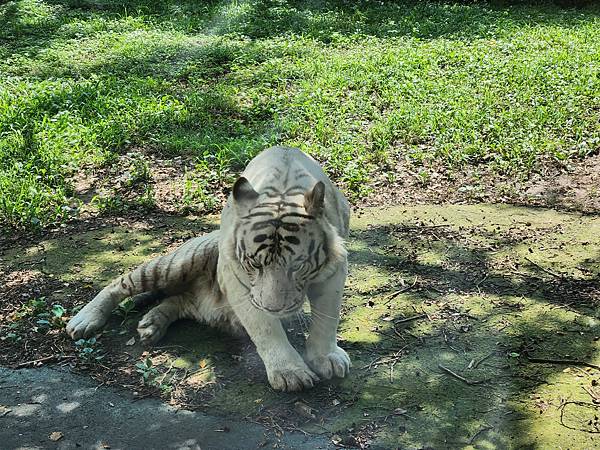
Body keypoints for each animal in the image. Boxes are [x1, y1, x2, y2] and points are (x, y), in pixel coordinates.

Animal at [67, 147, 352, 390]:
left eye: (298, 266)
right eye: (255, 264)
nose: (275, 309)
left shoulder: (334, 272)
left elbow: (327, 318)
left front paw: (326, 358)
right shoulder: (236, 278)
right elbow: (264, 327)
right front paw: (289, 373)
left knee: (177, 300)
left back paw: (151, 325)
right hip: (177, 263)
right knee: (121, 283)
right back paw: (84, 320)